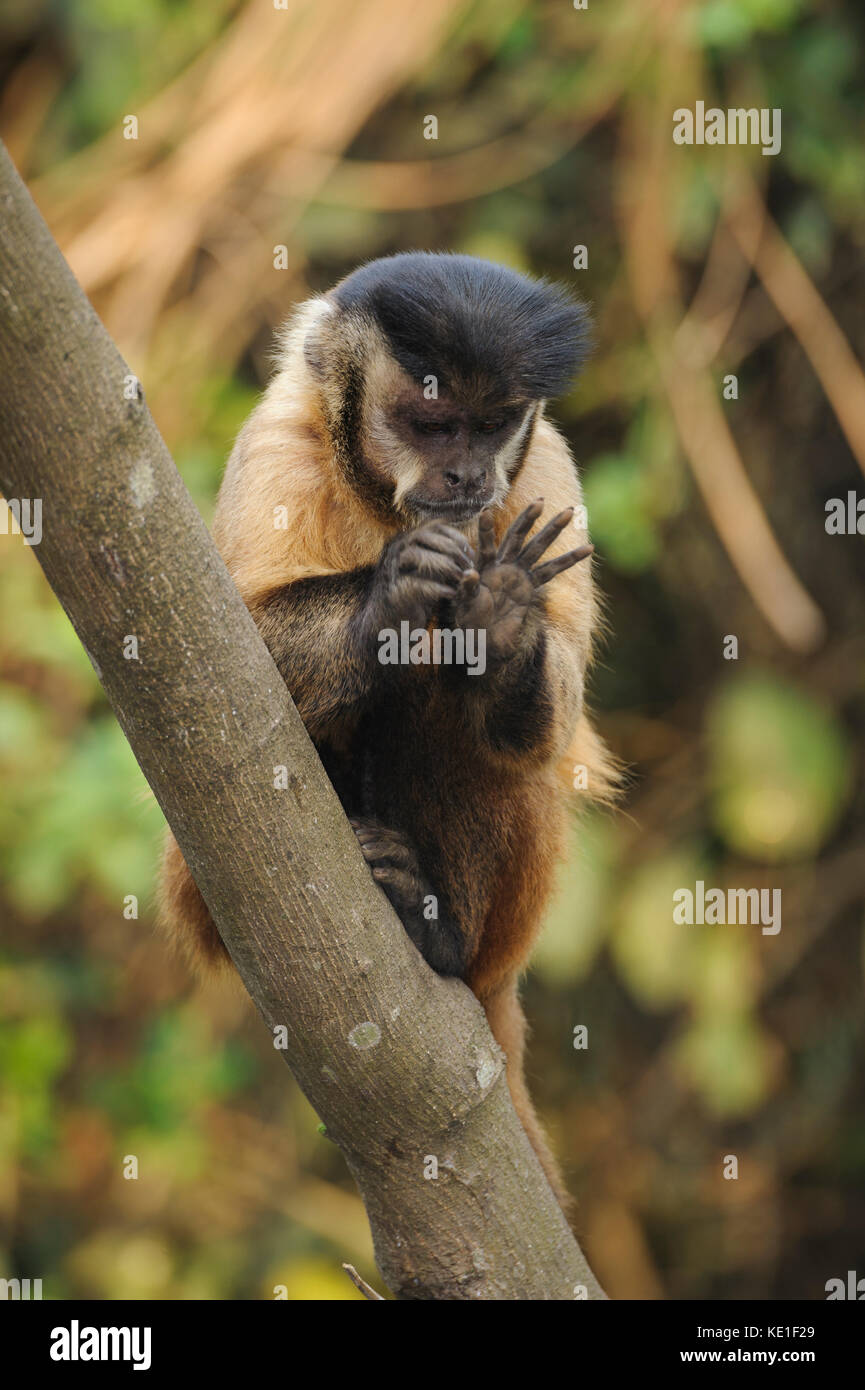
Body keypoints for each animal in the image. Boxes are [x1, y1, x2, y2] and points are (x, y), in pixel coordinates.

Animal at [159, 255, 614, 1212]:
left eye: (490, 424)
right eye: (431, 423)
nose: (466, 475)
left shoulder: (545, 465)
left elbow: (539, 733)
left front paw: (501, 614)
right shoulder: (279, 442)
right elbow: (211, 661)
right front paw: (392, 593)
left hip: (511, 926)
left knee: (465, 726)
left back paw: (434, 927)